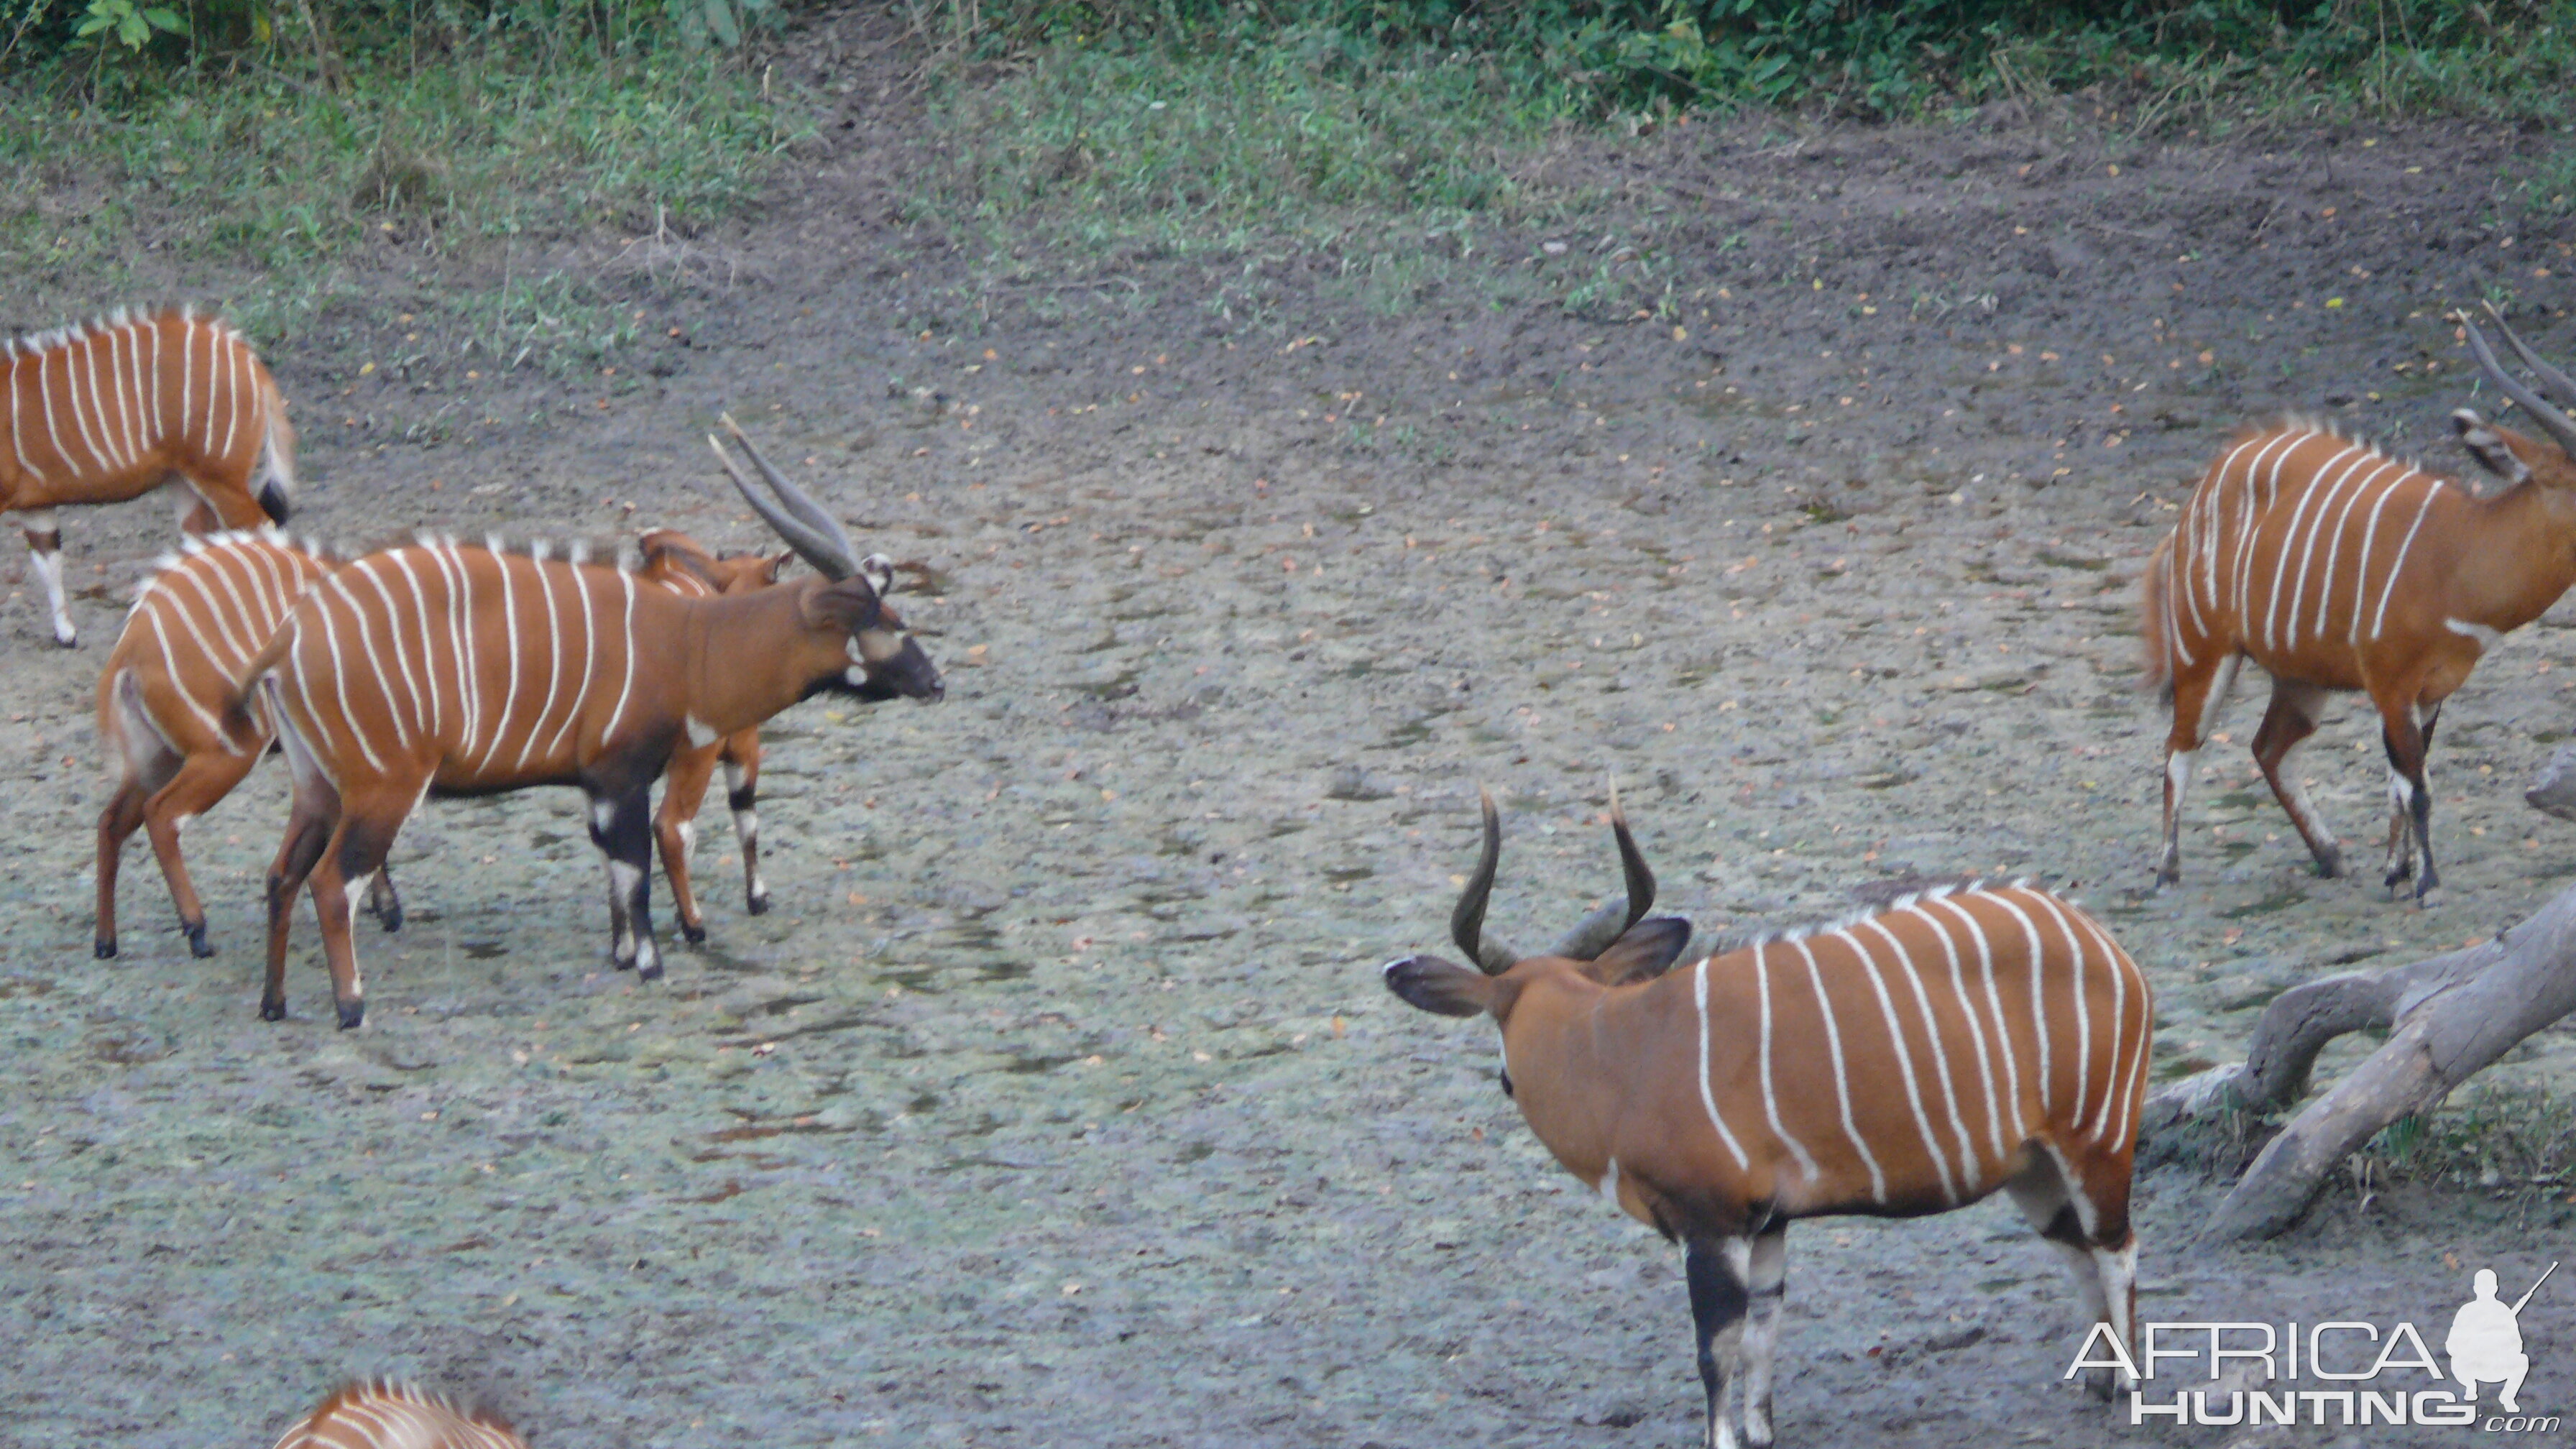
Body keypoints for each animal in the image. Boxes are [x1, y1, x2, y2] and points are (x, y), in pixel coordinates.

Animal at [2, 309, 293, 642]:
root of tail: (249, 360)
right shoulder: (34, 505)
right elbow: (48, 563)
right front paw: (67, 635)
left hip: (221, 478)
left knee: (260, 528)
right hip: (184, 480)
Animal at [236, 418, 942, 1026]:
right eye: (886, 621)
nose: (935, 682)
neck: (690, 641)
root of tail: (288, 639)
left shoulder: (596, 788)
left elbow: (613, 871)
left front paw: (624, 954)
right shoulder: (622, 776)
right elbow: (638, 867)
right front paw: (653, 964)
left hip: (318, 789)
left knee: (281, 875)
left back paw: (274, 1002)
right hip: (384, 790)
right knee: (332, 882)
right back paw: (351, 1007)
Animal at [1391, 788, 2153, 1443]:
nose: (1504, 1079)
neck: (1619, 1049)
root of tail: (2102, 941)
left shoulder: (1711, 1223)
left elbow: (1716, 1348)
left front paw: (1722, 1437)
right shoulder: (1767, 1224)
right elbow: (1763, 1334)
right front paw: (1759, 1430)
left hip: (2096, 1140)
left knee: (2116, 1249)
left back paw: (2129, 1394)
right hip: (2032, 1169)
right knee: (2078, 1253)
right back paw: (2094, 1386)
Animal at [2143, 306, 2576, 892]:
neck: (2459, 553)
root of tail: (2194, 505)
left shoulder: (2430, 692)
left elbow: (2401, 782)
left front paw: (2396, 872)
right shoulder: (2390, 683)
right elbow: (2416, 786)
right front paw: (2425, 884)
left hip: (2302, 676)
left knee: (2268, 748)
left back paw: (2331, 856)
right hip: (2204, 653)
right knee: (2180, 747)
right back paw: (2167, 871)